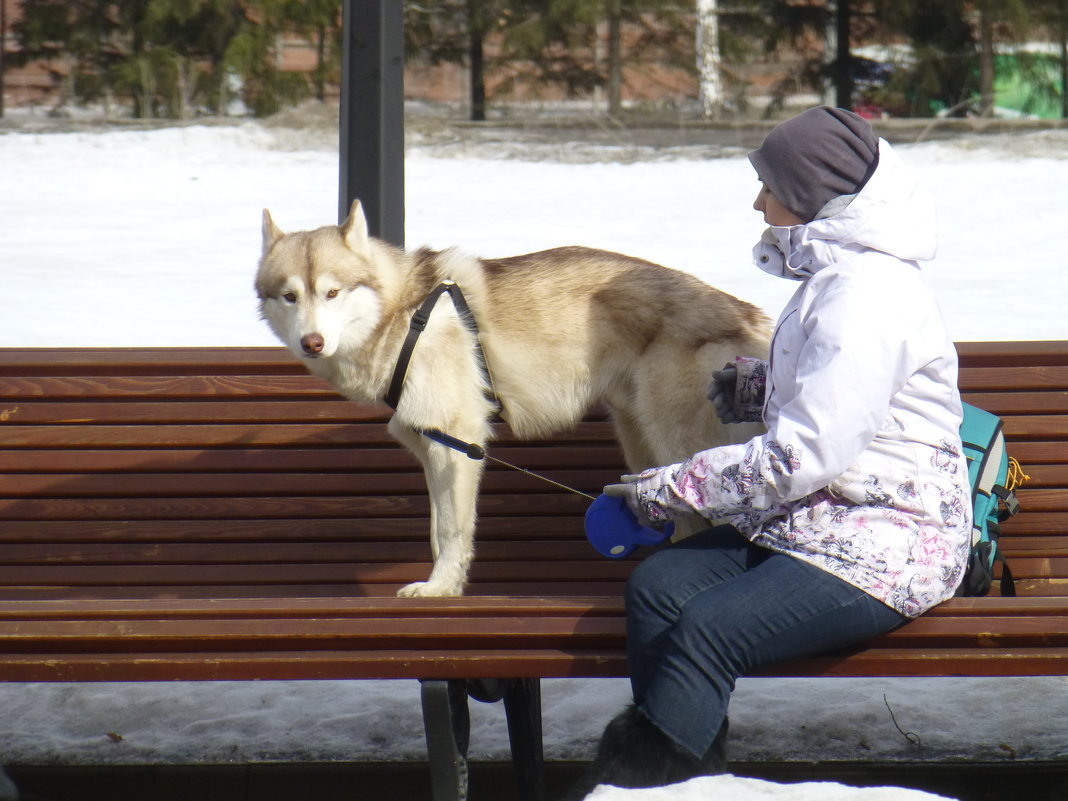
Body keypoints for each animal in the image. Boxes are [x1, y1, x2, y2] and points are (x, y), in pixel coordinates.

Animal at [261, 200, 773, 598]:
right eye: (290, 296)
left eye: (332, 292)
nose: (311, 342)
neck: (403, 313)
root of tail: (751, 314)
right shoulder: (433, 448)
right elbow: (437, 530)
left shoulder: (458, 444)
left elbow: (451, 530)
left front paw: (441, 588)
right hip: (640, 442)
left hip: (675, 444)